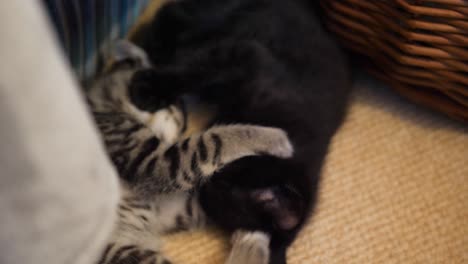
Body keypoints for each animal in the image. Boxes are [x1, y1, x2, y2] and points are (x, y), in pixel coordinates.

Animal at [86, 41, 294, 264]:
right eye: (182, 121)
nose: (181, 132)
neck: (104, 108)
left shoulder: (176, 206)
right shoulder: (153, 162)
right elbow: (211, 141)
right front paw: (273, 137)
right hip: (126, 254)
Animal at [133, 0, 350, 262]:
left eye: (221, 197)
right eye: (225, 184)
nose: (205, 187)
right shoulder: (243, 56)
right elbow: (193, 71)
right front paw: (148, 88)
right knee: (170, 16)